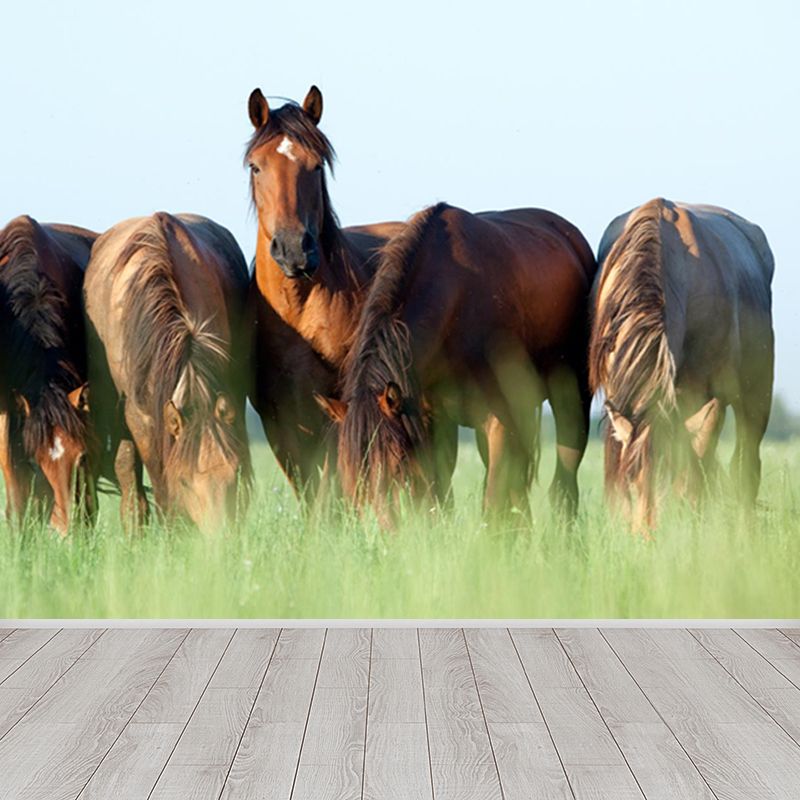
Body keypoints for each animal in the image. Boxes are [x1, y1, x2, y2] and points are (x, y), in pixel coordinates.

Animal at [317, 202, 598, 524]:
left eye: (396, 465)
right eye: (349, 475)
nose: (383, 532)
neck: (454, 304)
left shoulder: (498, 421)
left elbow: (493, 501)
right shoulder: (432, 421)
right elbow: (439, 495)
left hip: (572, 401)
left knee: (564, 479)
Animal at [589, 197, 774, 531]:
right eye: (633, 483)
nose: (649, 537)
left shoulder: (710, 399)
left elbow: (696, 472)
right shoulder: (618, 395)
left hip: (756, 396)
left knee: (745, 469)